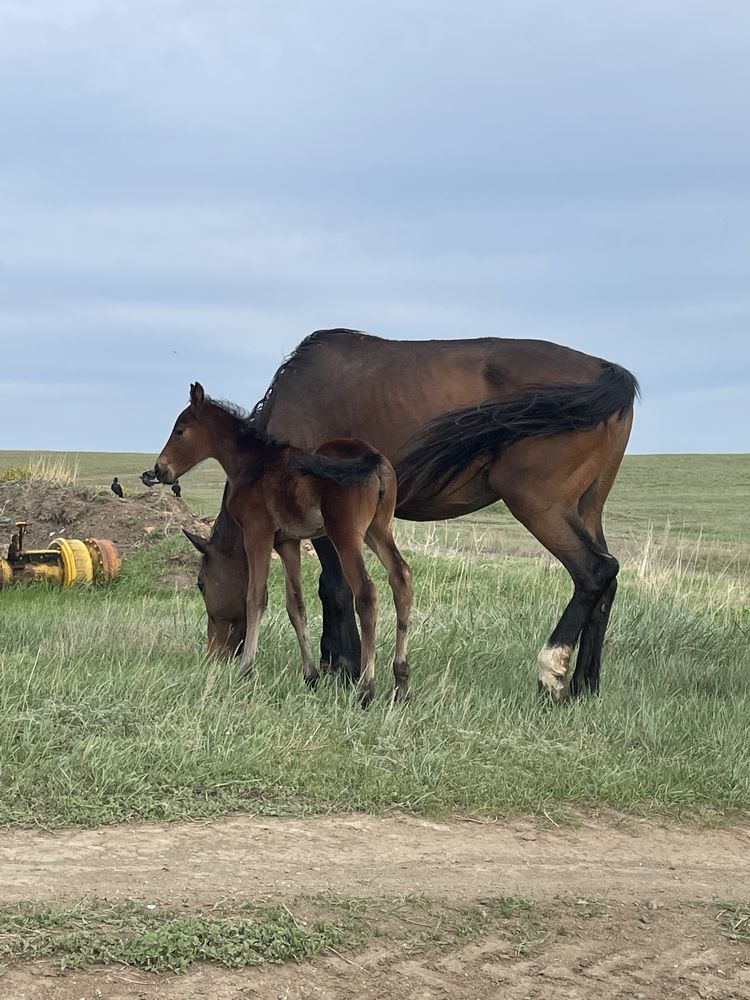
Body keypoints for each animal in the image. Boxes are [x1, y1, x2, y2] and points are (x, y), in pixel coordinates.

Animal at [156, 380, 414, 704]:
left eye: (179, 430)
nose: (158, 469)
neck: (253, 464)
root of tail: (375, 460)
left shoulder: (257, 533)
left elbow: (255, 597)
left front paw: (246, 668)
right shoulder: (287, 543)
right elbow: (296, 605)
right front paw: (311, 676)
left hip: (346, 534)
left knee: (367, 593)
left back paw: (366, 687)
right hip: (377, 529)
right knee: (401, 577)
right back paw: (401, 682)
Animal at [184, 330, 640, 704]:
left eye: (202, 584)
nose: (215, 655)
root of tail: (606, 371)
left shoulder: (328, 524)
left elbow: (335, 589)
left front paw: (342, 666)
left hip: (541, 507)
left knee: (594, 572)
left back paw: (552, 674)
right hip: (586, 510)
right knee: (608, 581)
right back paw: (585, 685)